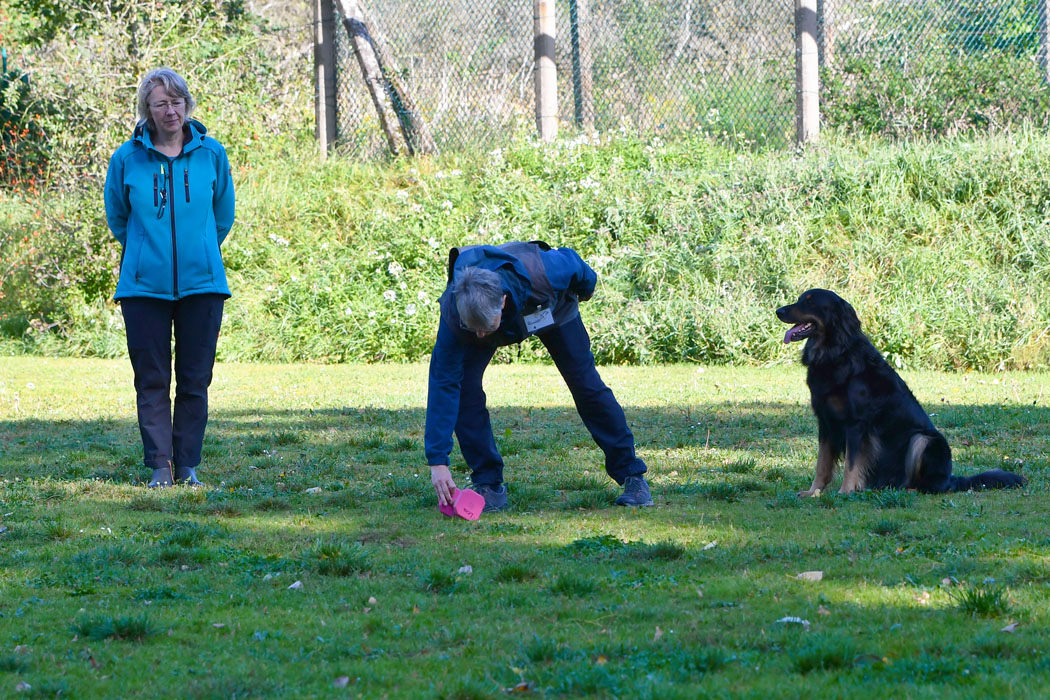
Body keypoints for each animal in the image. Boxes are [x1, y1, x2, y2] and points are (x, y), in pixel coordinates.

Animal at [776, 289, 1020, 497]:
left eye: (810, 302)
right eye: (800, 299)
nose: (778, 311)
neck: (835, 352)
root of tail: (951, 479)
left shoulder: (856, 424)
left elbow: (851, 465)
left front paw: (846, 492)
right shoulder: (826, 423)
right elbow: (822, 465)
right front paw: (813, 492)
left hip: (923, 439)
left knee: (931, 486)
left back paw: (909, 490)